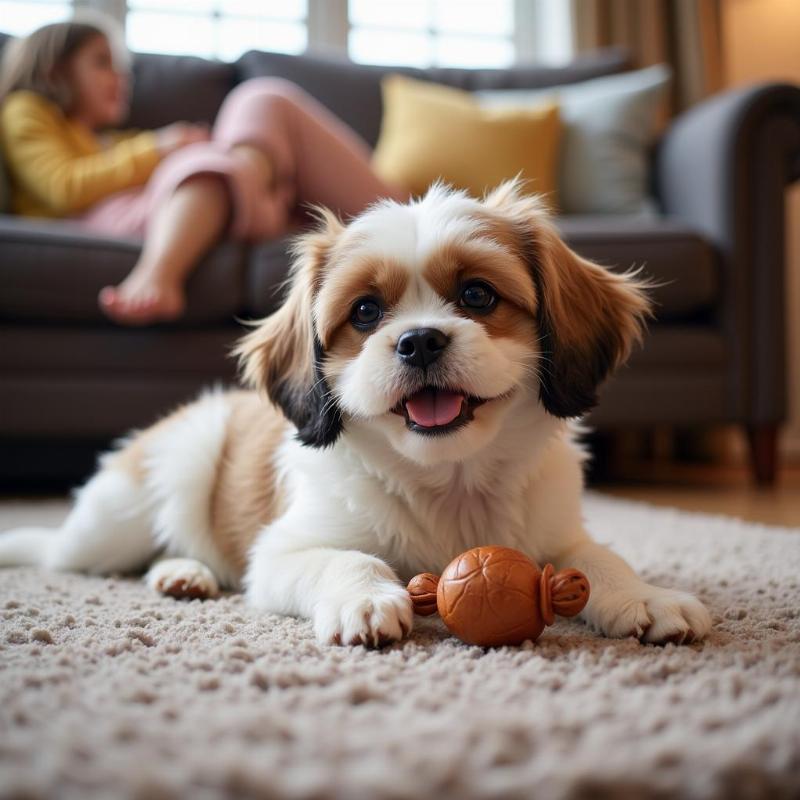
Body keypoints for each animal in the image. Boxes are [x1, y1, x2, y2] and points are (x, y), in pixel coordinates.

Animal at [0, 178, 712, 648]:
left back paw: (184, 574)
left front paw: (646, 597)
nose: (419, 340)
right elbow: (346, 558)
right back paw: (165, 566)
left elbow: (600, 561)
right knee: (69, 551)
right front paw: (366, 598)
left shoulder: (559, 536)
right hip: (135, 503)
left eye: (478, 296)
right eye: (366, 312)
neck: (448, 484)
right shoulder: (282, 553)